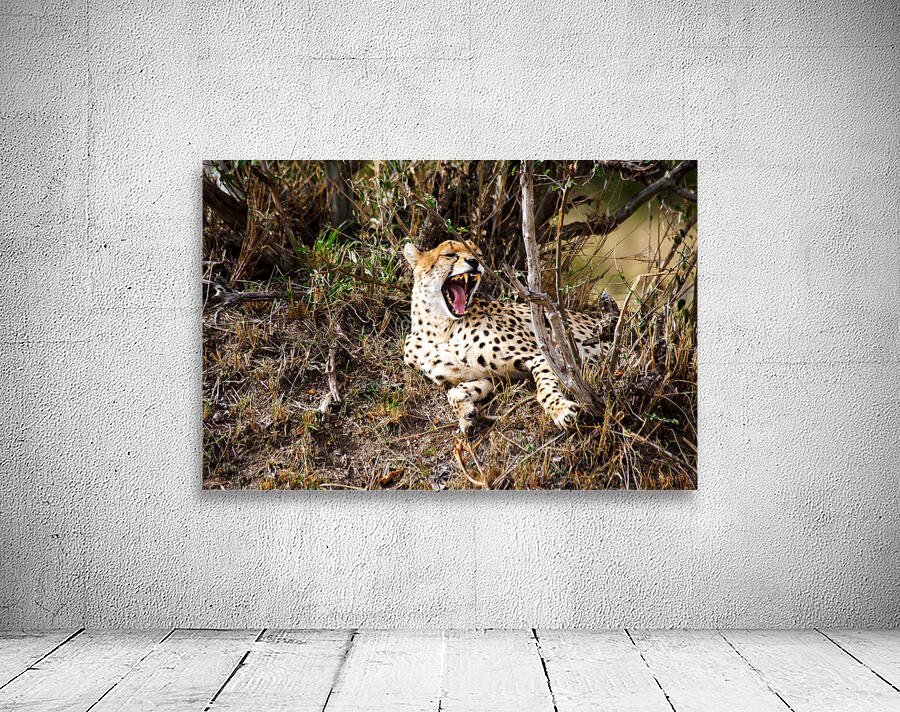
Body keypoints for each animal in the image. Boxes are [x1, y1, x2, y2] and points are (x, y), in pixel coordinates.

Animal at [402, 239, 617, 435]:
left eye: (477, 253)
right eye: (449, 255)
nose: (474, 261)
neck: (440, 327)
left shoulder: (542, 355)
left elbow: (544, 389)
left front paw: (560, 409)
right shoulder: (488, 377)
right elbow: (454, 391)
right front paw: (465, 413)